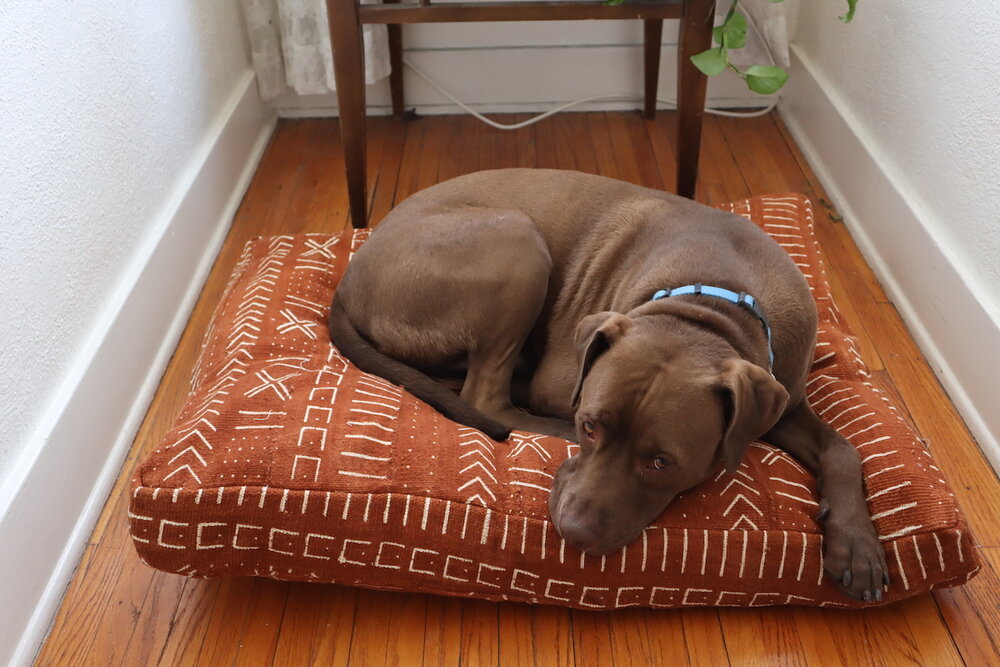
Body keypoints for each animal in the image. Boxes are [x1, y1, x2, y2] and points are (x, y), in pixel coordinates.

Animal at [330, 167, 892, 600]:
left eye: (661, 463)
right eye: (589, 426)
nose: (573, 532)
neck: (711, 307)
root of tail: (347, 281)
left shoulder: (784, 399)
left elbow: (844, 448)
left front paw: (857, 544)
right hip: (517, 241)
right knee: (485, 397)